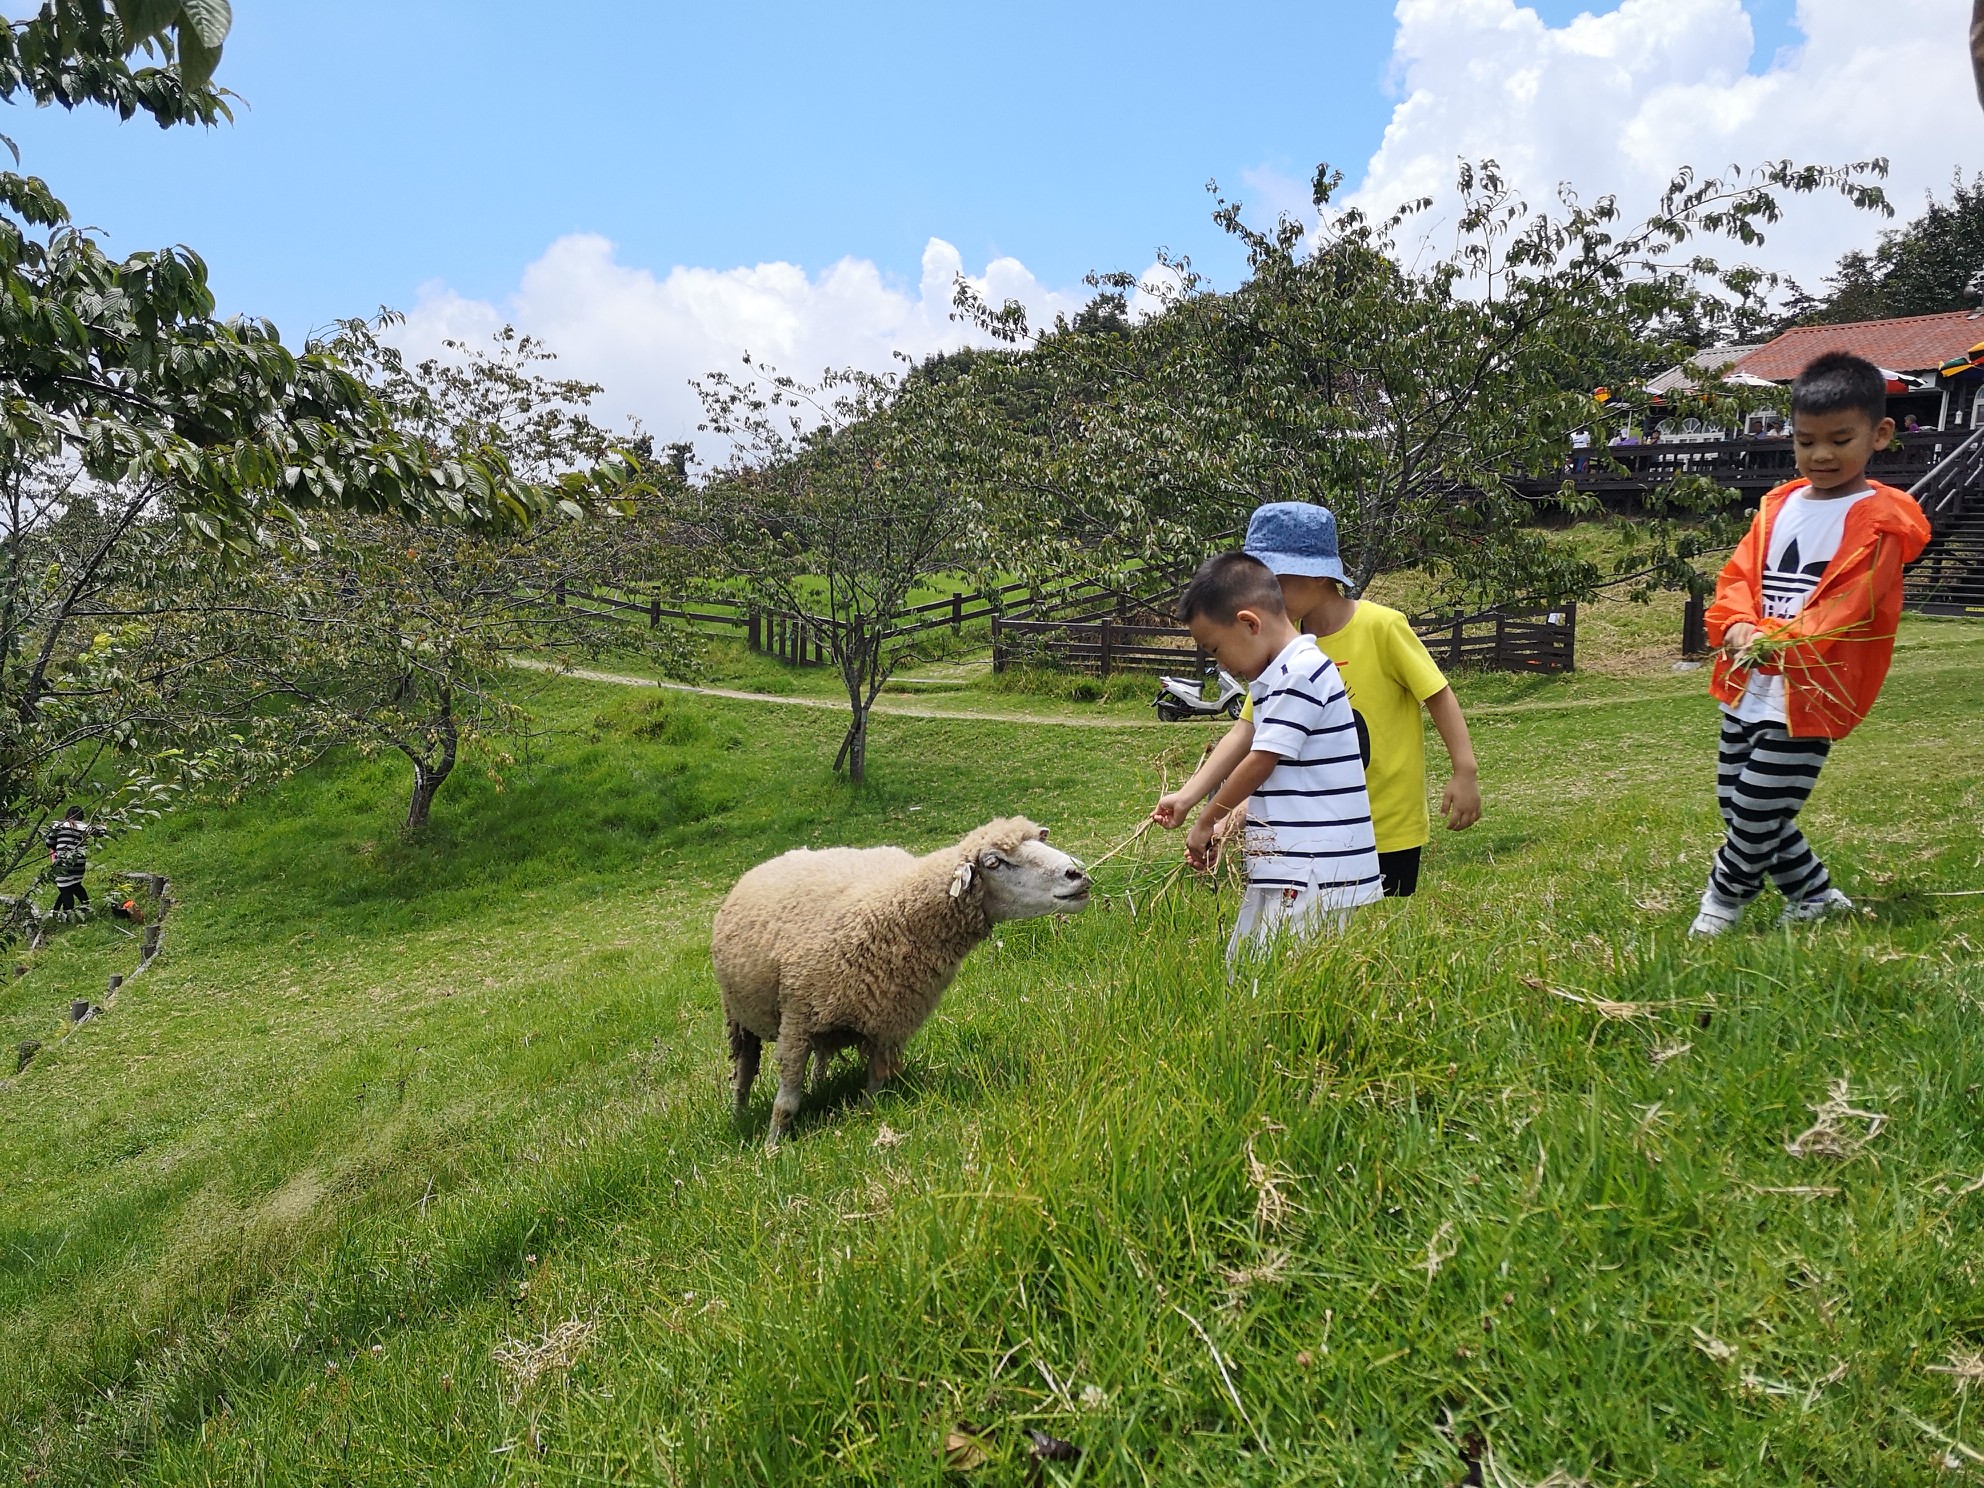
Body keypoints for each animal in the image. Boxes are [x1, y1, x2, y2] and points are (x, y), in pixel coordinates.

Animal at [710, 817, 1095, 1150]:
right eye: (994, 862)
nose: (1076, 873)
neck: (892, 917)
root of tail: (777, 858)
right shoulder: (797, 1022)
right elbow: (786, 1103)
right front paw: (772, 1147)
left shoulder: (886, 1025)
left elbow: (876, 1087)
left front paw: (867, 1119)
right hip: (739, 1014)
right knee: (744, 1071)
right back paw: (738, 1117)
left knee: (822, 1055)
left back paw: (817, 1082)